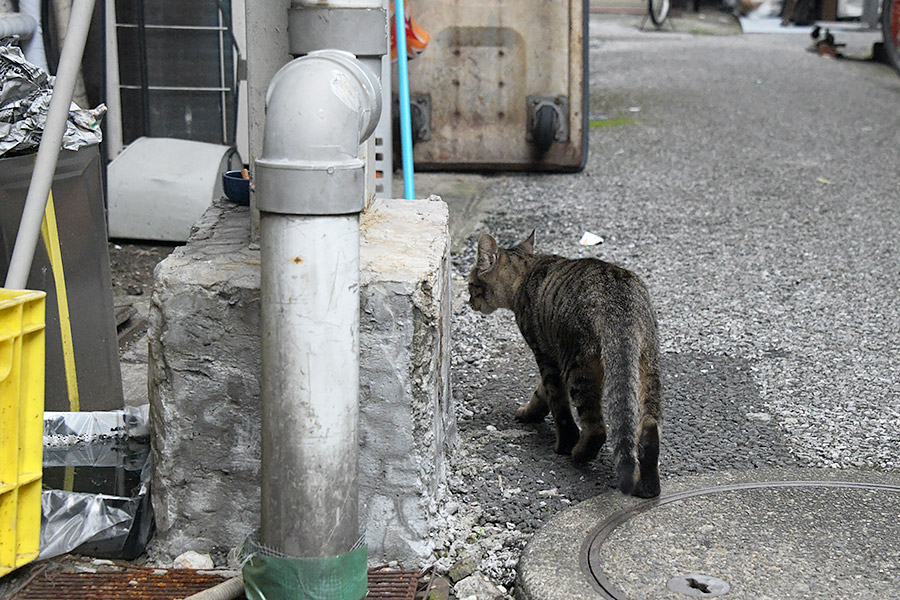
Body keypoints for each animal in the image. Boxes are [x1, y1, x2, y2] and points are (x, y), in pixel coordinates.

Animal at [472, 230, 660, 496]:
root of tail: (619, 304)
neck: (525, 273)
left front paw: (564, 441)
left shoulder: (545, 355)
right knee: (650, 426)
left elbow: (556, 402)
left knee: (596, 429)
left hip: (579, 366)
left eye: (470, 285)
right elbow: (540, 393)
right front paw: (530, 412)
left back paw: (578, 454)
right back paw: (650, 486)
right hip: (648, 365)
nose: (470, 302)